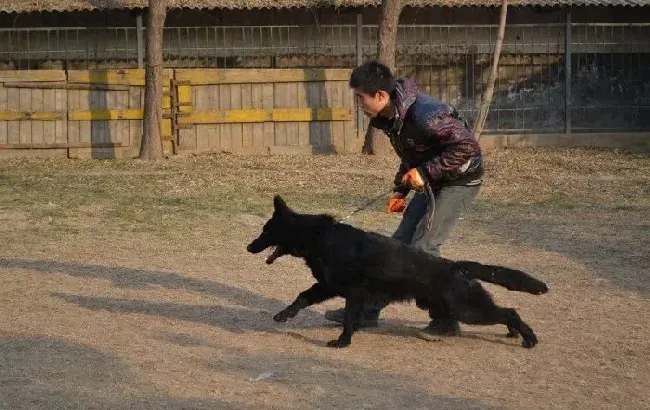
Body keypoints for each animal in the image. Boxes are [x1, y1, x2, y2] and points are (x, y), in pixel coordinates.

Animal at [246, 196, 544, 350]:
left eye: (266, 230)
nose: (248, 247)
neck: (318, 236)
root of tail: (455, 266)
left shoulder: (353, 293)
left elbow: (348, 319)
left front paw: (343, 342)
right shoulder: (328, 286)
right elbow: (302, 297)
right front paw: (284, 315)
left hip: (469, 309)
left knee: (509, 312)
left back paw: (528, 338)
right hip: (445, 306)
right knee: (503, 313)